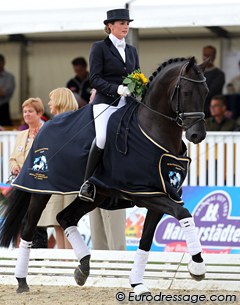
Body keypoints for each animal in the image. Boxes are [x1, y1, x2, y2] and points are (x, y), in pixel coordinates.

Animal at [0, 55, 209, 294]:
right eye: (187, 92)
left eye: (206, 92)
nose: (198, 135)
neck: (153, 130)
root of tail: (44, 126)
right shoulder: (144, 193)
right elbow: (183, 214)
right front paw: (197, 266)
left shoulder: (161, 194)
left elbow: (147, 240)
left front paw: (137, 284)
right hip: (41, 190)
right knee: (28, 229)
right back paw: (21, 281)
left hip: (96, 195)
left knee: (65, 217)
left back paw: (83, 267)